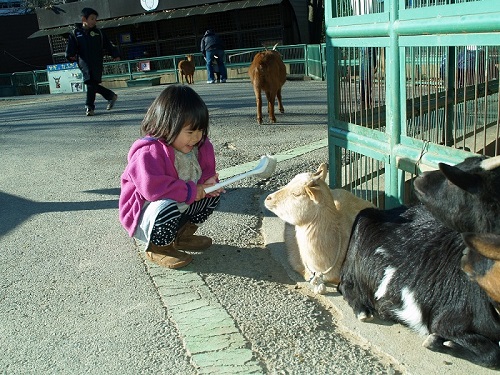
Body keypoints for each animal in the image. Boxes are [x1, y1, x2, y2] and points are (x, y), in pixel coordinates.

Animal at [340, 154, 500, 368]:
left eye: (454, 179)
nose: (421, 177)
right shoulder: (446, 321)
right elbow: (492, 355)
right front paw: (439, 342)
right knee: (344, 284)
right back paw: (363, 310)